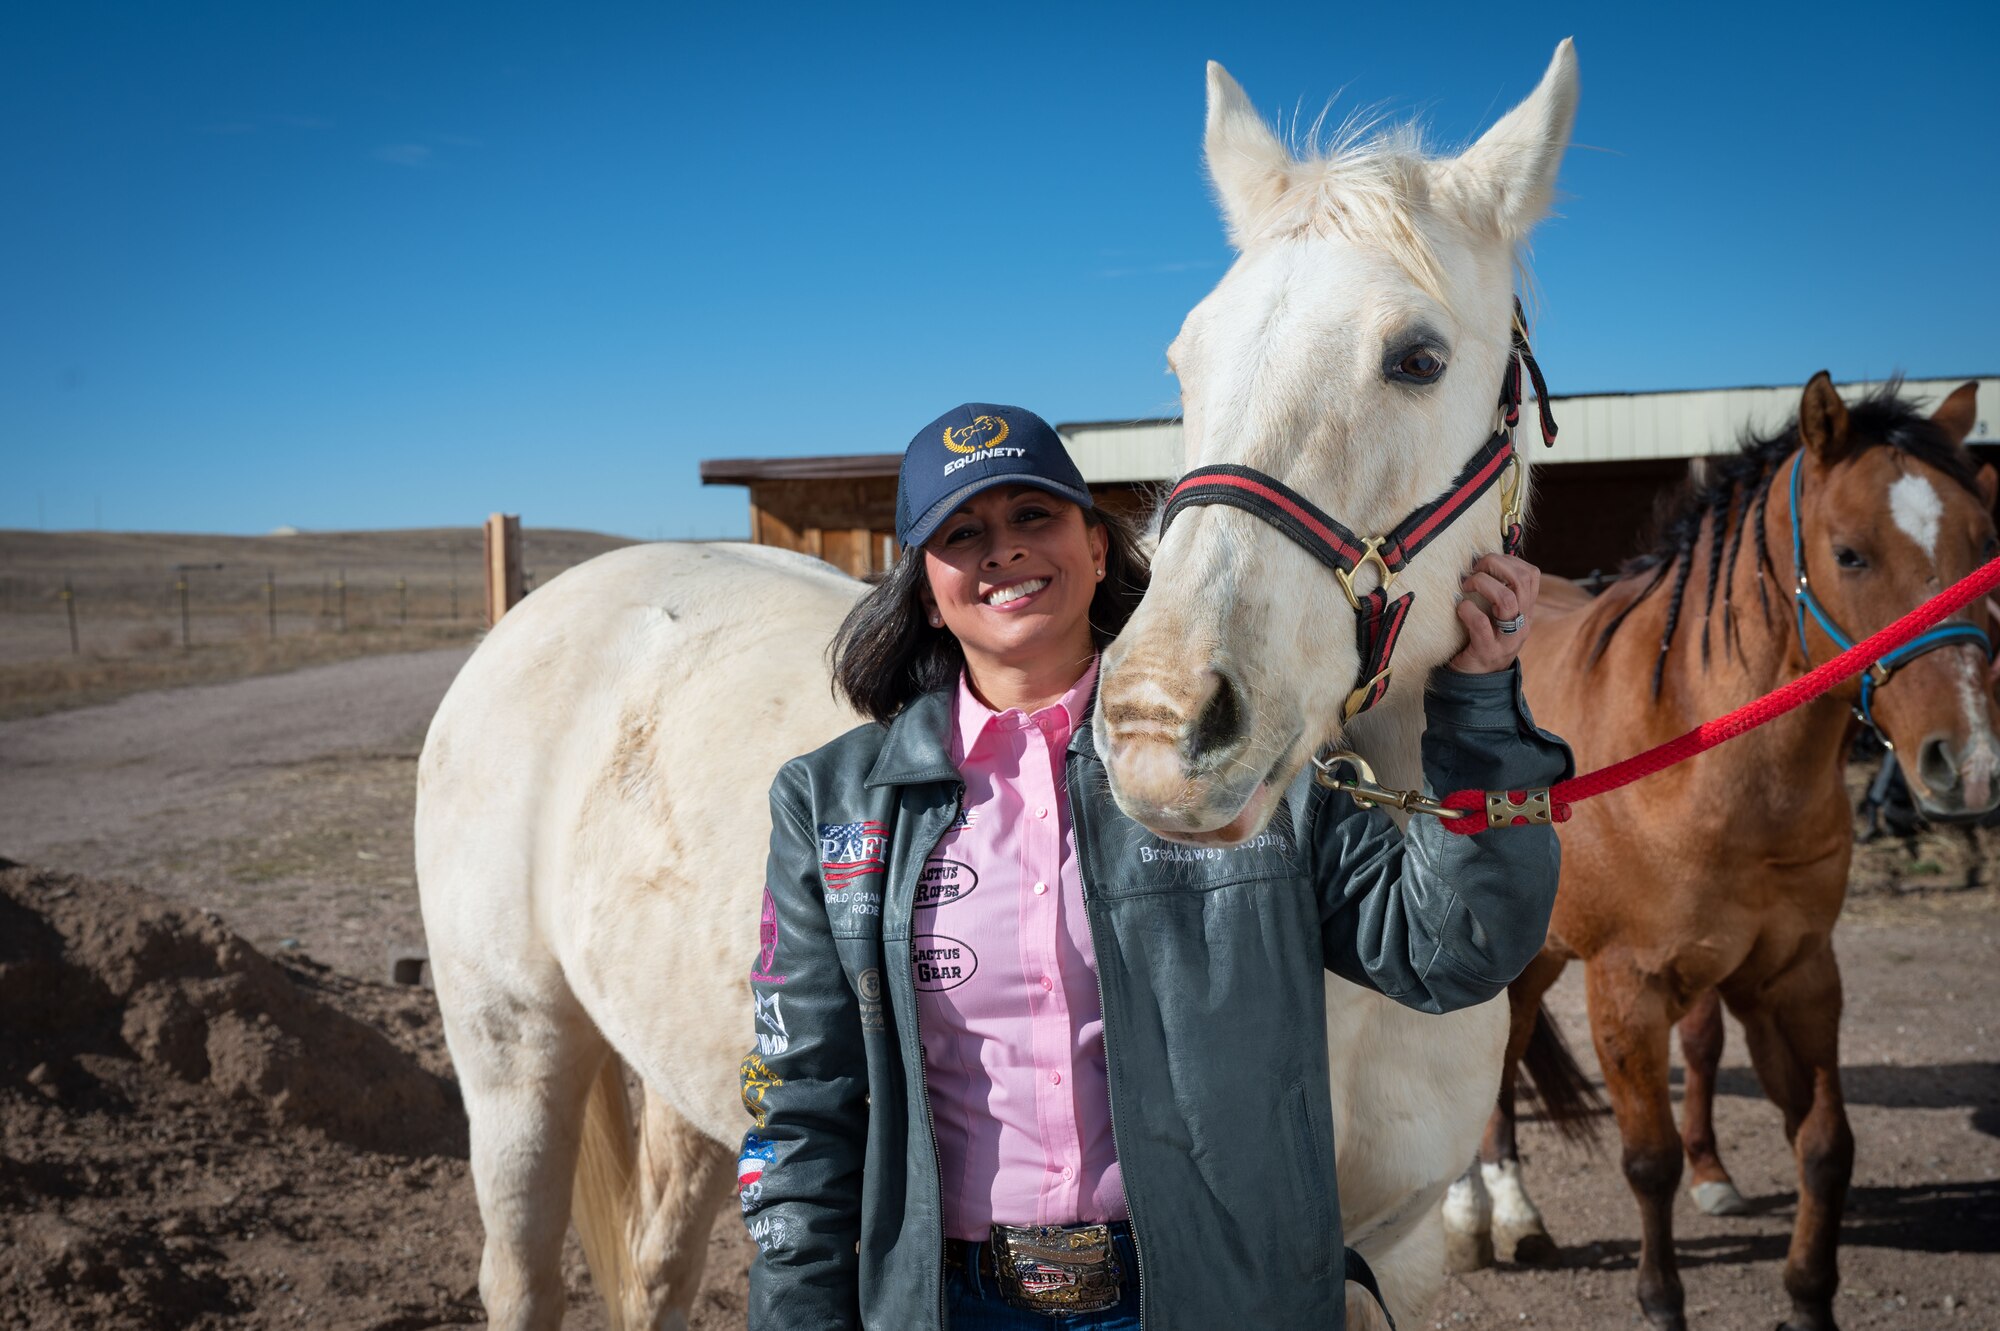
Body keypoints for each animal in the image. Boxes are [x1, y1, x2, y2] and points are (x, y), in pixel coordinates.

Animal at [1464, 375, 1992, 1327]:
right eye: (1850, 554)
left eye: (1984, 543)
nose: (1968, 766)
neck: (1699, 754)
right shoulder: (1627, 986)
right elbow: (1650, 1161)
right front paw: (1660, 1298)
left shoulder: (1797, 975)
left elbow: (1825, 1145)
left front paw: (1809, 1297)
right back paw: (1469, 1219)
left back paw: (1516, 1213)